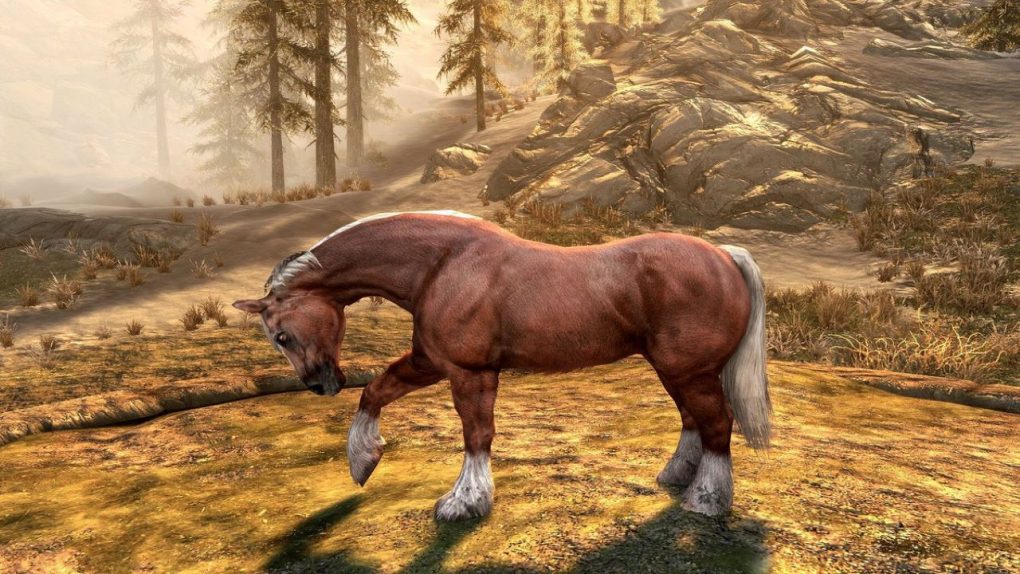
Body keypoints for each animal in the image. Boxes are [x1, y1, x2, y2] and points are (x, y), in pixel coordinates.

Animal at [233, 210, 770, 521]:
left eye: (281, 335)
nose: (319, 385)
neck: (442, 264)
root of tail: (724, 255)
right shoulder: (432, 361)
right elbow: (377, 391)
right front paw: (363, 461)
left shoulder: (468, 371)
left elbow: (476, 434)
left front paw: (463, 502)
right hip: (676, 370)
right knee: (693, 422)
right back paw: (677, 478)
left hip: (688, 370)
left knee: (717, 425)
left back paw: (706, 502)